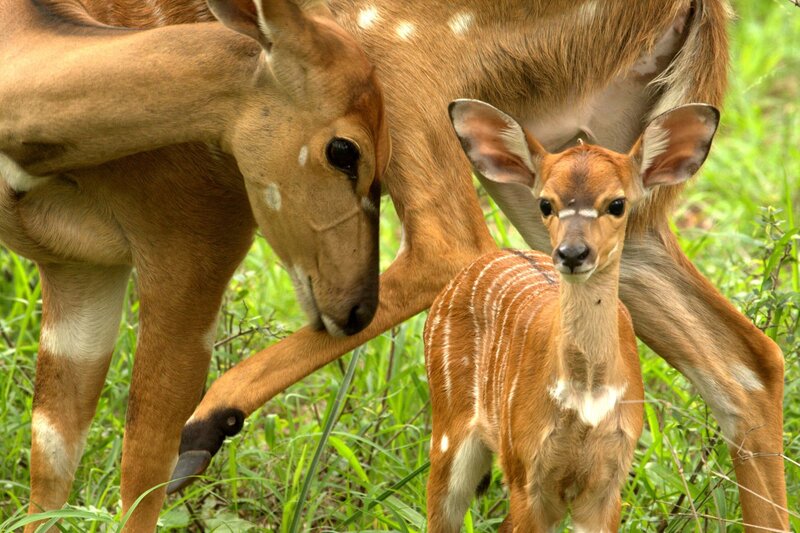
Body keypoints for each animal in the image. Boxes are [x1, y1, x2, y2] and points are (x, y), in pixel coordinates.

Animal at [1, 0, 388, 529]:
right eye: (344, 150)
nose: (359, 308)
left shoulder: (190, 246)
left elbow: (141, 463)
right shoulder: (79, 266)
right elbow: (56, 451)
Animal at [425, 100, 719, 532]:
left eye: (617, 204)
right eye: (545, 203)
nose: (572, 253)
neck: (586, 398)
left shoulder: (607, 484)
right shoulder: (527, 475)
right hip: (449, 433)